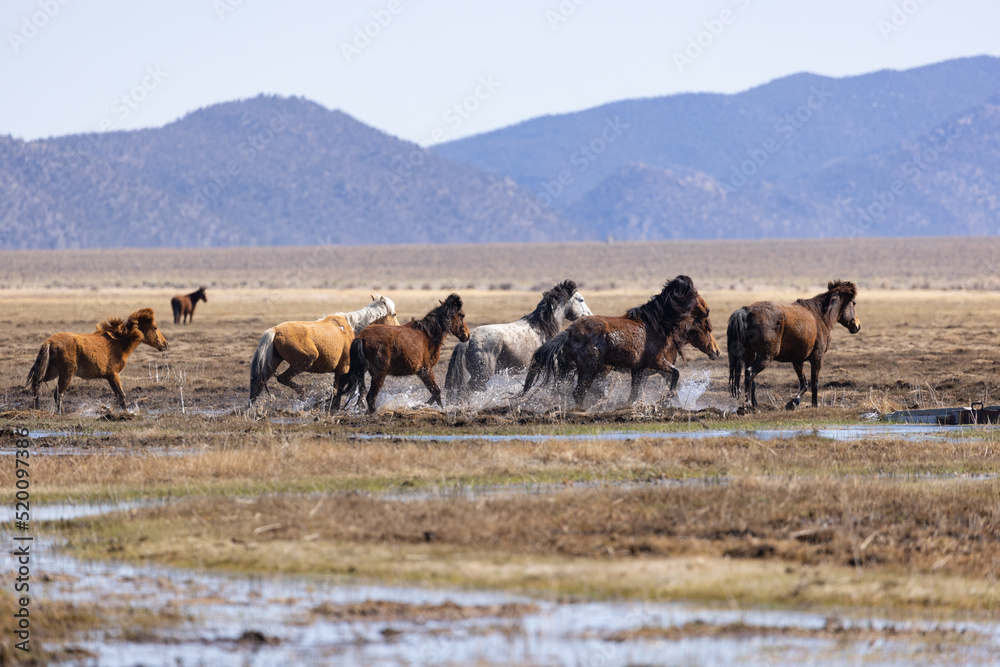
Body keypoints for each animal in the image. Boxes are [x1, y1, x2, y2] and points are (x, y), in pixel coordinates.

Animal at [25, 308, 168, 412]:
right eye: (155, 327)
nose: (165, 344)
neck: (119, 343)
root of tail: (49, 342)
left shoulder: (110, 376)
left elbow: (119, 396)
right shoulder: (113, 375)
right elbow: (121, 395)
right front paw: (114, 410)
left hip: (52, 371)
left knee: (37, 382)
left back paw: (37, 407)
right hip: (67, 373)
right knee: (57, 393)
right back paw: (60, 412)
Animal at [248, 294, 399, 406]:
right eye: (394, 314)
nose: (398, 328)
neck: (352, 327)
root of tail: (275, 330)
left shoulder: (342, 370)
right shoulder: (343, 368)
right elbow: (337, 391)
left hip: (273, 363)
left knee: (258, 385)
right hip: (305, 361)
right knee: (282, 378)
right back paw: (303, 394)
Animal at [333, 294, 470, 413]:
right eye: (462, 315)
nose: (467, 335)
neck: (428, 335)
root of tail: (361, 338)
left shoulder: (423, 372)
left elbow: (436, 394)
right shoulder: (425, 370)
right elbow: (437, 392)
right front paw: (421, 406)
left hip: (358, 368)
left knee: (342, 381)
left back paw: (335, 408)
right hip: (379, 374)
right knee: (370, 397)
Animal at [522, 276, 721, 407]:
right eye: (696, 295)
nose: (717, 352)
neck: (657, 325)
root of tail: (568, 332)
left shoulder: (639, 371)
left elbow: (636, 393)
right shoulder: (657, 363)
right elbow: (675, 376)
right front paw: (663, 401)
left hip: (570, 369)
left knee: (562, 390)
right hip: (588, 370)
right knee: (579, 393)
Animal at [727, 280, 860, 410]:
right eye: (854, 303)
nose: (857, 326)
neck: (820, 317)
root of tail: (747, 311)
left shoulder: (797, 361)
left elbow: (804, 384)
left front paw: (793, 403)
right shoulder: (817, 358)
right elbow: (814, 383)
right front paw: (814, 405)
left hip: (751, 355)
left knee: (751, 379)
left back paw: (755, 406)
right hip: (765, 357)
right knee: (750, 373)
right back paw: (747, 405)